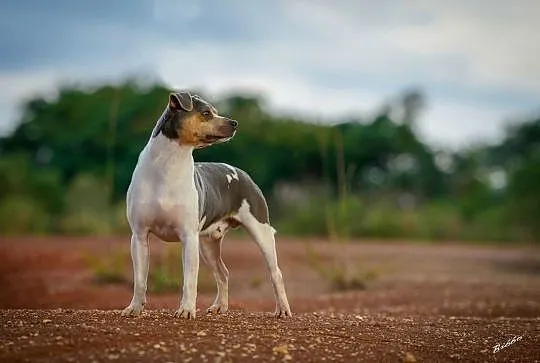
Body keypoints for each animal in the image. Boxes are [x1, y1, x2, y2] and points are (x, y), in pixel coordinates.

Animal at [121, 92, 294, 320]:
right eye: (205, 113)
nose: (234, 123)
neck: (169, 163)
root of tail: (243, 174)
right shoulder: (140, 236)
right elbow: (140, 279)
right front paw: (134, 308)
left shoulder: (188, 237)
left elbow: (189, 280)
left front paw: (186, 310)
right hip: (208, 245)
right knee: (223, 273)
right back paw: (220, 307)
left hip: (261, 233)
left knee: (276, 273)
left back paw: (282, 309)